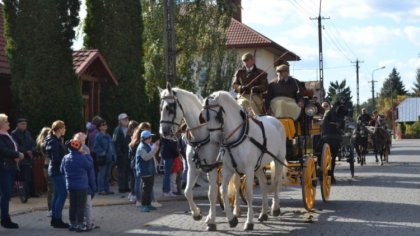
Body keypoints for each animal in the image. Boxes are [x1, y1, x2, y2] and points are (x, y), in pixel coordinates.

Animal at [158, 84, 240, 231]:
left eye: (170, 107)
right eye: (160, 107)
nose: (164, 132)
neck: (201, 136)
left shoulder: (211, 168)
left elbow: (212, 192)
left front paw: (212, 220)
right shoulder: (193, 169)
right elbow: (187, 191)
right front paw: (197, 213)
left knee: (236, 186)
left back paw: (236, 211)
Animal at [202, 90, 288, 230]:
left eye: (218, 117)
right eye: (204, 117)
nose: (214, 141)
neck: (238, 136)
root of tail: (275, 119)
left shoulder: (248, 169)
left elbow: (248, 193)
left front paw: (249, 222)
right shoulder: (229, 169)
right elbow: (223, 190)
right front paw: (231, 219)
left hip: (278, 158)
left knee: (276, 181)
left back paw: (275, 208)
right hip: (258, 165)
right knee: (263, 183)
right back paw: (263, 213)